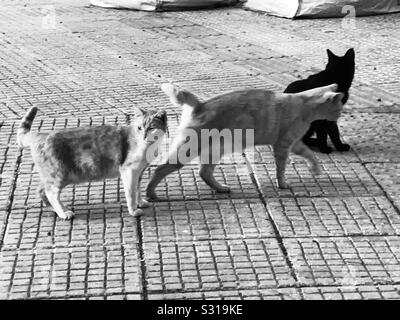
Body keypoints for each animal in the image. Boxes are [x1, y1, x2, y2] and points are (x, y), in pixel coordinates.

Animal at [16, 106, 167, 219]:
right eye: (139, 128)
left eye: (151, 128)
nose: (144, 136)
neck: (147, 146)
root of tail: (41, 134)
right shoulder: (129, 171)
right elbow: (131, 193)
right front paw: (134, 210)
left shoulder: (139, 172)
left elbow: (137, 189)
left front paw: (140, 202)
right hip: (59, 174)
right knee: (51, 193)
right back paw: (63, 213)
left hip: (56, 175)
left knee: (41, 190)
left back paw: (55, 208)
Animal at [146, 83, 344, 198]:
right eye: (339, 108)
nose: (339, 116)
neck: (303, 104)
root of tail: (199, 104)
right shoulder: (283, 145)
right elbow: (281, 169)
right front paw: (282, 184)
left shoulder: (295, 144)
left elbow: (310, 154)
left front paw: (315, 169)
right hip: (188, 150)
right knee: (160, 169)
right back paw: (150, 193)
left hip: (215, 150)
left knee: (204, 172)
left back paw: (220, 188)